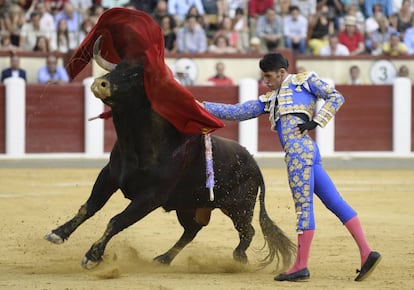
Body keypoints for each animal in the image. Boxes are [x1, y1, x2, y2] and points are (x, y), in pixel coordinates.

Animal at [44, 60, 294, 270]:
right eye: (117, 68)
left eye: (137, 77)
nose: (99, 83)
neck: (139, 143)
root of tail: (255, 165)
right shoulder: (109, 176)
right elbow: (89, 206)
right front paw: (58, 233)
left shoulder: (150, 197)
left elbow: (117, 221)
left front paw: (92, 256)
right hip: (189, 205)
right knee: (191, 231)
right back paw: (164, 258)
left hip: (239, 207)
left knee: (247, 231)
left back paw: (238, 258)